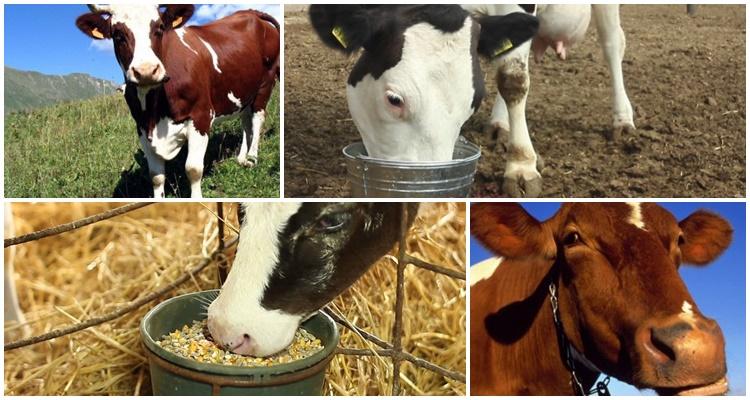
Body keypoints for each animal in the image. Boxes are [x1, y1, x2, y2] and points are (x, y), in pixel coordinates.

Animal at [76, 5, 280, 198]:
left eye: (159, 28)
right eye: (117, 34)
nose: (146, 71)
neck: (155, 112)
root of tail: (252, 12)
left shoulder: (201, 117)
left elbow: (193, 169)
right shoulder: (142, 128)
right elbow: (156, 176)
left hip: (266, 82)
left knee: (258, 118)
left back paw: (252, 157)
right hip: (244, 91)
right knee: (246, 120)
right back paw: (242, 157)